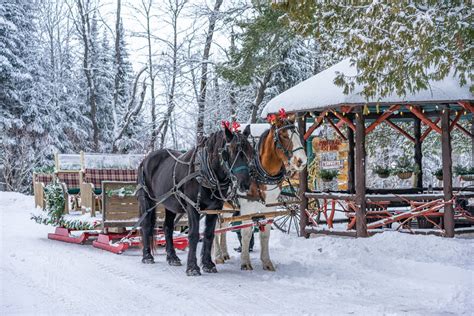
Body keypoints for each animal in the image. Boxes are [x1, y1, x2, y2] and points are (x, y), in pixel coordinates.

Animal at [137, 127, 254, 276]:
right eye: (230, 152)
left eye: (250, 151)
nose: (245, 184)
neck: (204, 173)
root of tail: (146, 159)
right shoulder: (192, 207)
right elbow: (193, 234)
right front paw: (192, 267)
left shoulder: (214, 209)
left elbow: (209, 234)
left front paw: (208, 264)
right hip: (147, 200)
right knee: (146, 225)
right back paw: (147, 256)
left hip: (170, 204)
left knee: (167, 227)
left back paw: (172, 257)